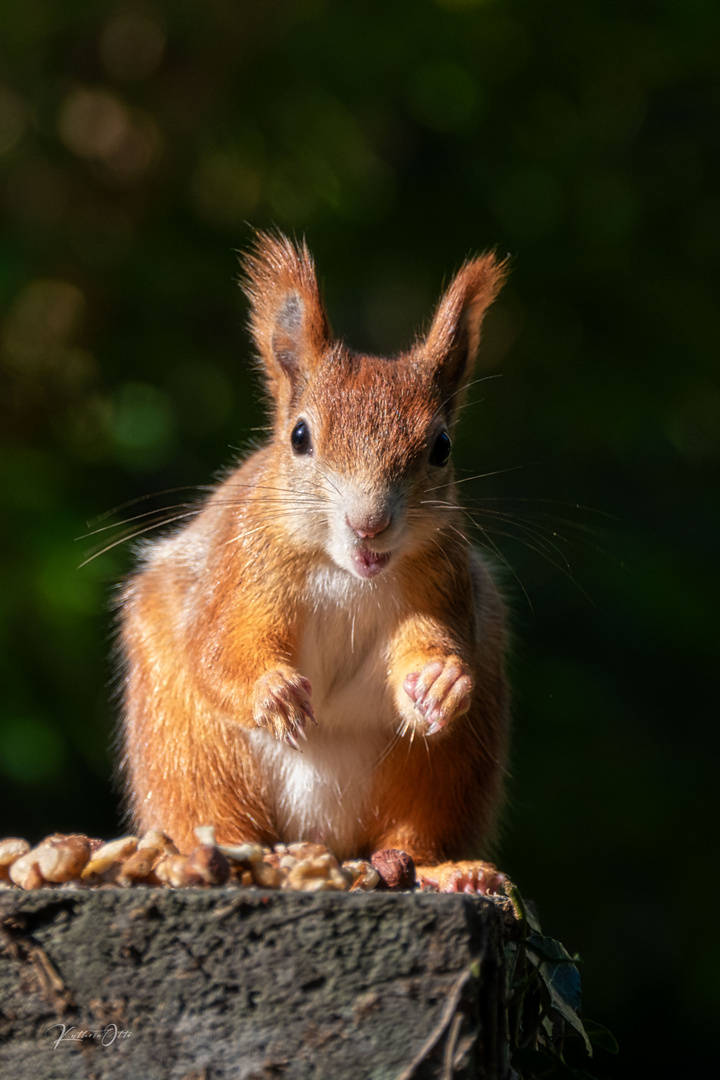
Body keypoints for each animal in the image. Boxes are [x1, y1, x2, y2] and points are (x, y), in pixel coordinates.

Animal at [118, 232, 509, 889]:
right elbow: (219, 650)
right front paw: (273, 694)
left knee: (413, 832)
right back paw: (212, 857)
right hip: (185, 745)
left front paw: (440, 681)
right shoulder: (239, 570)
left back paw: (449, 870)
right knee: (210, 811)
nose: (368, 524)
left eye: (441, 447)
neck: (347, 574)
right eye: (299, 437)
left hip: (447, 765)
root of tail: (321, 835)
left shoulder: (443, 587)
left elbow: (426, 648)